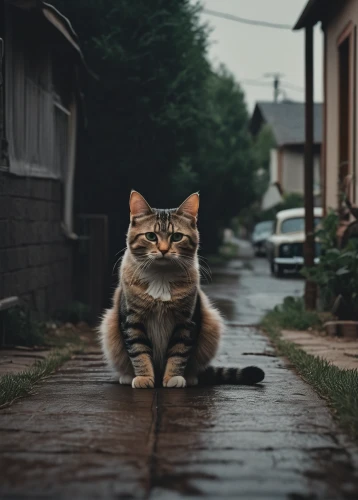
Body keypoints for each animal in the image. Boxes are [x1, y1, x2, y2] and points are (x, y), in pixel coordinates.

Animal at [99, 189, 264, 388]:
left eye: (176, 237)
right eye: (151, 236)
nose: (163, 250)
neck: (161, 277)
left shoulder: (186, 321)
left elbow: (179, 352)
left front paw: (173, 378)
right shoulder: (132, 319)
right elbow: (138, 351)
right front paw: (144, 378)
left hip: (212, 323)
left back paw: (190, 377)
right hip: (109, 326)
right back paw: (127, 376)